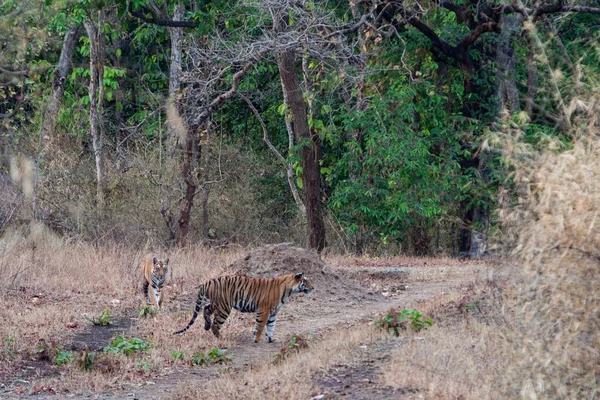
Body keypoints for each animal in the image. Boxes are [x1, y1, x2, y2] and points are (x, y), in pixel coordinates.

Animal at [173, 272, 314, 344]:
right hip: (224, 307)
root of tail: (208, 281)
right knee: (215, 324)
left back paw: (206, 325)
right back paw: (221, 338)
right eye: (306, 281)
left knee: (205, 309)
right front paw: (258, 339)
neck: (288, 291)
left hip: (216, 303)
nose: (313, 288)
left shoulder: (273, 313)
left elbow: (271, 326)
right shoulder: (264, 310)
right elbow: (261, 326)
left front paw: (271, 339)